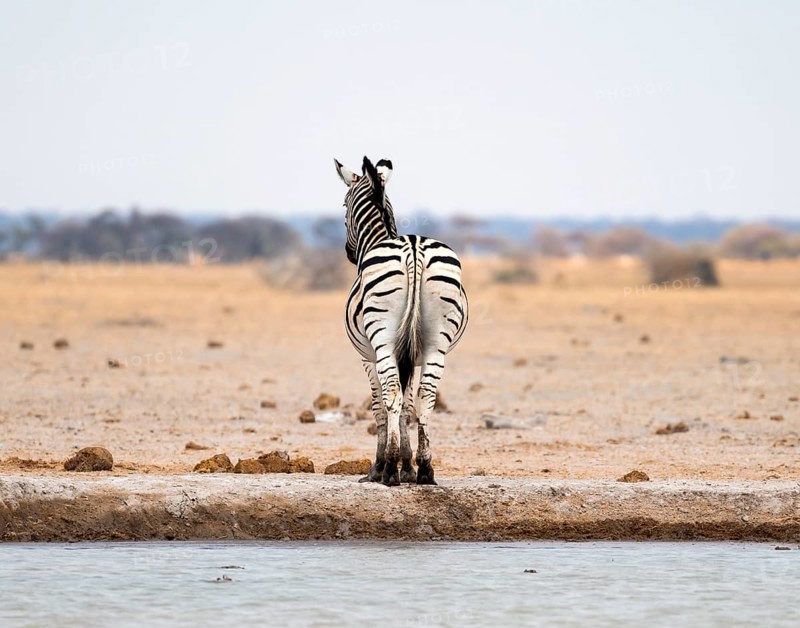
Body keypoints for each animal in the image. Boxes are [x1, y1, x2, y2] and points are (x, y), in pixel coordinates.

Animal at [333, 156, 468, 486]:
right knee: (428, 397)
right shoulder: (412, 356)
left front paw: (382, 466)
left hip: (381, 338)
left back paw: (389, 469)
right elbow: (408, 407)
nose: (348, 252)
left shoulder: (367, 356)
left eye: (344, 205)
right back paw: (426, 469)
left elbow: (380, 406)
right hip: (436, 343)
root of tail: (414, 246)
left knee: (391, 392)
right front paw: (408, 466)